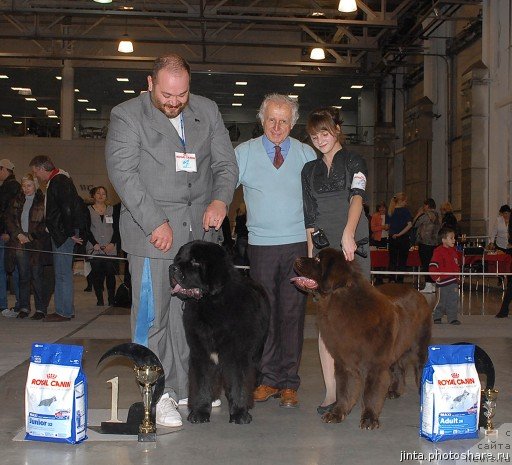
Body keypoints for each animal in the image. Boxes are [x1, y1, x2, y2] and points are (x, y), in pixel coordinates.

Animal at [169, 241, 272, 422]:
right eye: (178, 258)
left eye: (195, 262)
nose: (172, 267)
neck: (210, 305)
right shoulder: (201, 352)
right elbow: (202, 382)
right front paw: (199, 412)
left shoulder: (238, 354)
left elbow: (239, 382)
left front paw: (239, 413)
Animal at [292, 246, 432, 428]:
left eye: (317, 260)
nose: (296, 258)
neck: (341, 303)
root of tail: (418, 292)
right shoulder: (345, 361)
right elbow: (344, 389)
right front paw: (337, 413)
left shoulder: (376, 364)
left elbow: (371, 392)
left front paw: (369, 418)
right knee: (398, 368)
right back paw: (395, 391)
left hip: (418, 345)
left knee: (420, 367)